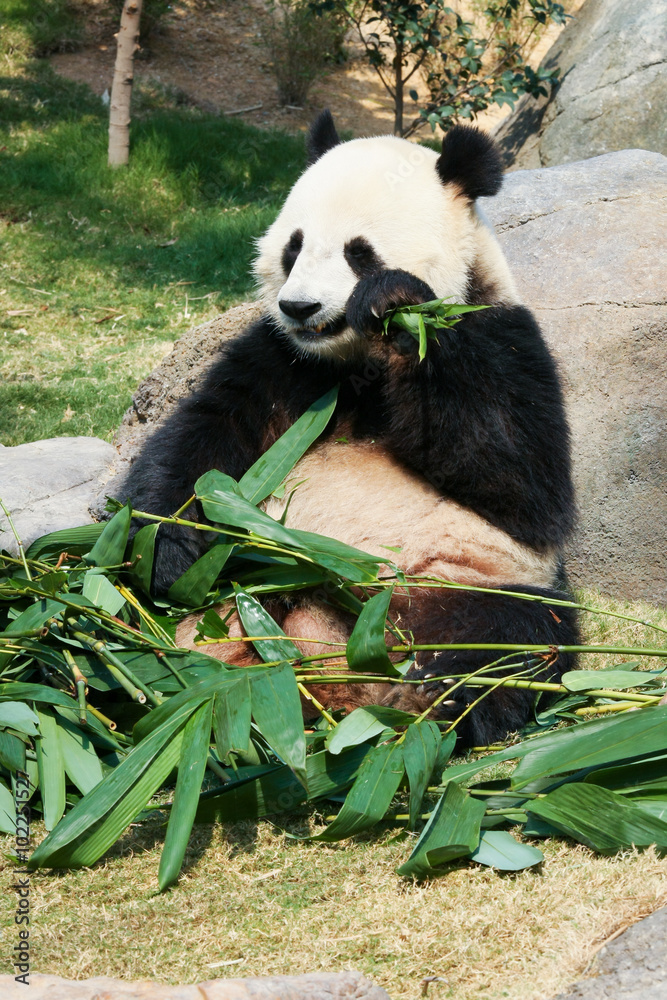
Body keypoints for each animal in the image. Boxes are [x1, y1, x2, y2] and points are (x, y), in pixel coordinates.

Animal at [122, 110, 579, 747]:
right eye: (293, 247)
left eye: (359, 253)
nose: (299, 308)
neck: (357, 357)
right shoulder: (284, 360)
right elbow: (209, 439)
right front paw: (167, 550)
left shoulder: (503, 336)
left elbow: (521, 483)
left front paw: (396, 302)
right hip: (241, 581)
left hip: (460, 584)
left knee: (515, 637)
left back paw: (437, 696)